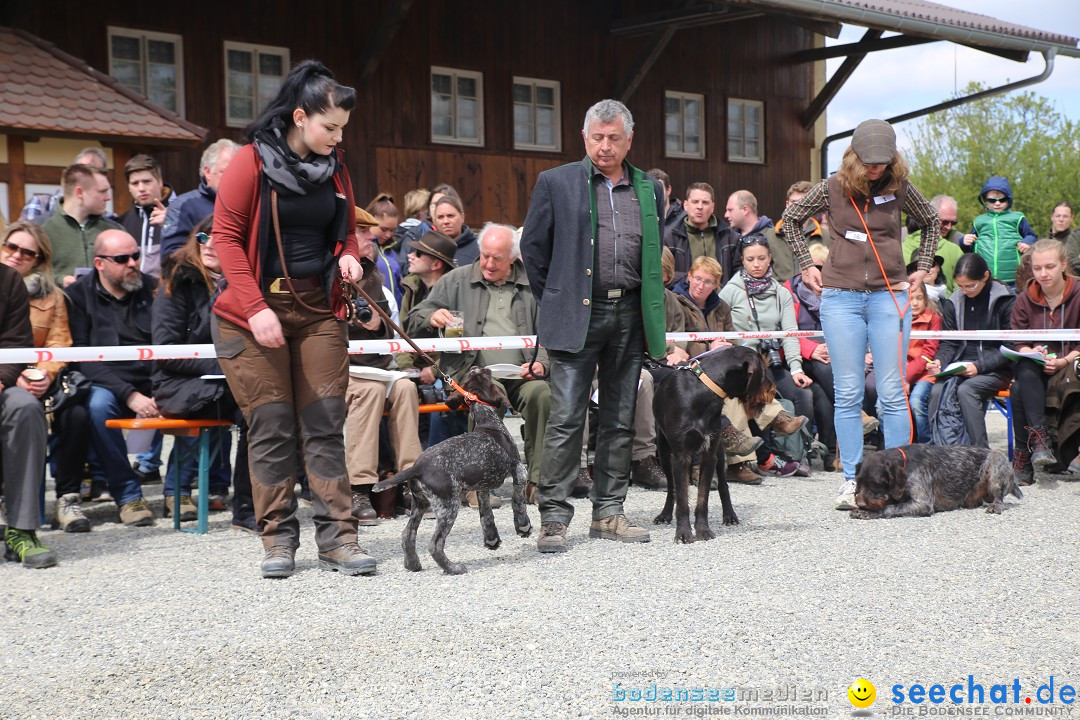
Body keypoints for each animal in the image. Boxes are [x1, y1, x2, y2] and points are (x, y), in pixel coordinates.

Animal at [652, 345, 773, 544]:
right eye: (764, 372)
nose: (774, 390)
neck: (704, 391)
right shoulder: (680, 455)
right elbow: (682, 497)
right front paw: (683, 533)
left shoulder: (709, 454)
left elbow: (703, 498)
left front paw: (702, 530)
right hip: (663, 452)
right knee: (671, 487)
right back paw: (665, 514)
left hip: (720, 452)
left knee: (723, 484)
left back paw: (729, 515)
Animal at [851, 444, 1019, 518]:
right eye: (858, 482)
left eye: (876, 483)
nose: (861, 504)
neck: (906, 463)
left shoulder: (922, 504)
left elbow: (891, 507)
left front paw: (870, 512)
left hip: (997, 460)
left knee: (999, 498)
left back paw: (995, 506)